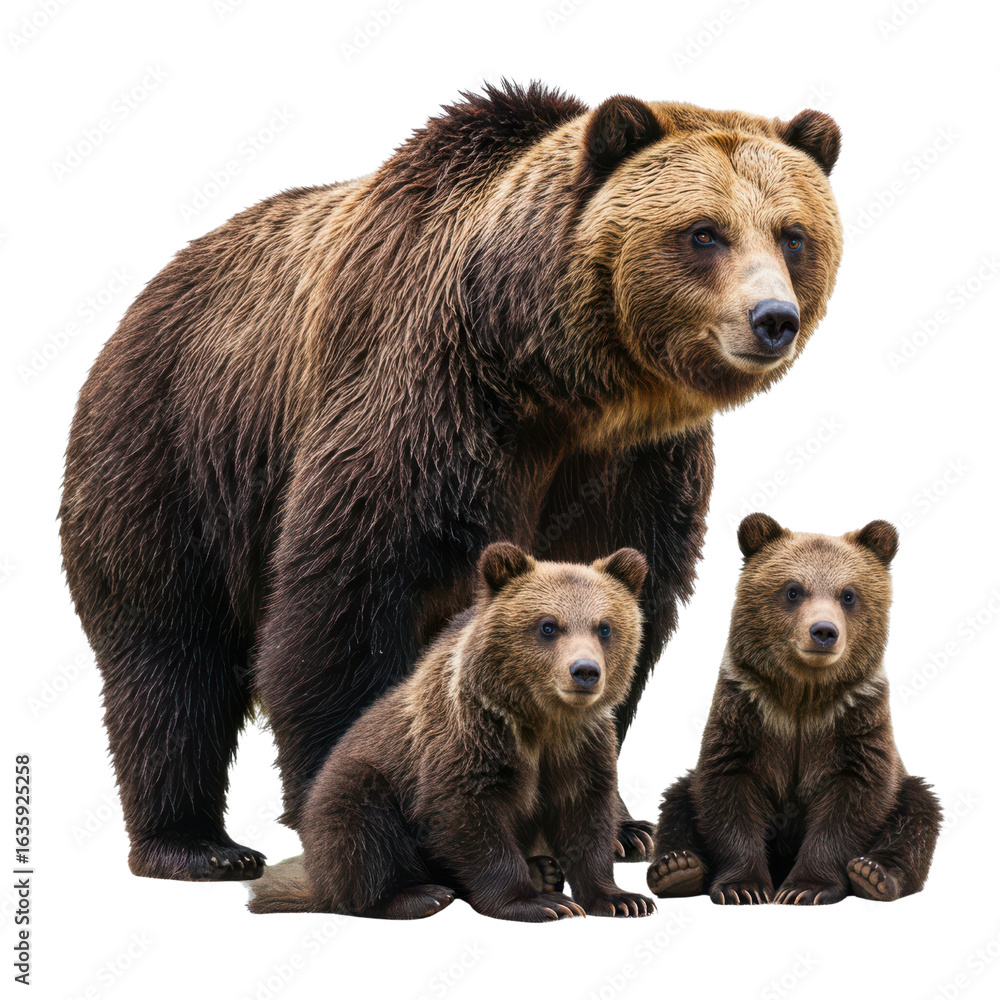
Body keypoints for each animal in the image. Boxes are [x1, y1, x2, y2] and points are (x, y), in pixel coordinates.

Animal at [58, 81, 844, 881]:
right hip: (174, 454)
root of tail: (148, 294)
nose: (772, 318)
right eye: (705, 232)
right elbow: (348, 593)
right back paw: (195, 843)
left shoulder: (638, 465)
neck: (561, 380)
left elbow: (624, 595)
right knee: (169, 654)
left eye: (793, 235)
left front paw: (618, 824)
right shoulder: (426, 401)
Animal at [246, 541, 654, 920]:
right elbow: (467, 818)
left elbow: (586, 817)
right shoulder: (468, 739)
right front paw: (540, 903)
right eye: (548, 625)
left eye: (605, 627)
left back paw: (543, 869)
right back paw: (418, 895)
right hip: (355, 787)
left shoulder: (581, 747)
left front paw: (622, 899)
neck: (541, 720)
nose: (585, 671)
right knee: (361, 830)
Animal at [646, 513, 942, 905]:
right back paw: (677, 867)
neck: (803, 697)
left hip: (905, 788)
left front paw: (805, 887)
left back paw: (874, 874)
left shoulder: (854, 718)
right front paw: (743, 887)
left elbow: (852, 800)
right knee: (678, 800)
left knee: (919, 810)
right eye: (793, 590)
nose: (824, 631)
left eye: (849, 594)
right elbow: (728, 789)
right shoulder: (746, 709)